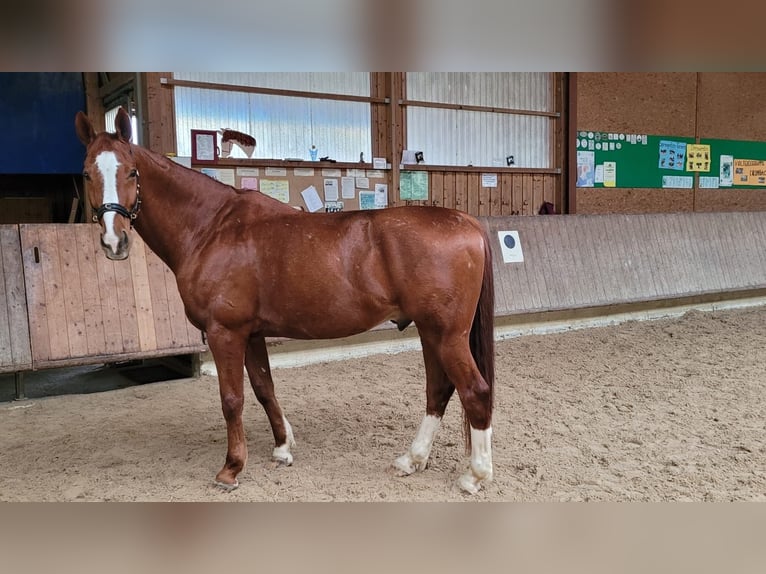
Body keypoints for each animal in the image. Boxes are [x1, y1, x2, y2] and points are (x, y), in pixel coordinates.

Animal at [76, 108, 498, 496]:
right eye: (86, 173)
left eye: (132, 172)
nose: (114, 241)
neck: (211, 228)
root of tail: (467, 222)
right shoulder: (251, 333)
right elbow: (264, 388)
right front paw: (282, 448)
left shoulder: (225, 332)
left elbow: (232, 399)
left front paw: (231, 468)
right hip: (430, 333)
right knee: (438, 391)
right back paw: (412, 459)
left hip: (447, 335)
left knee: (474, 391)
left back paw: (475, 476)